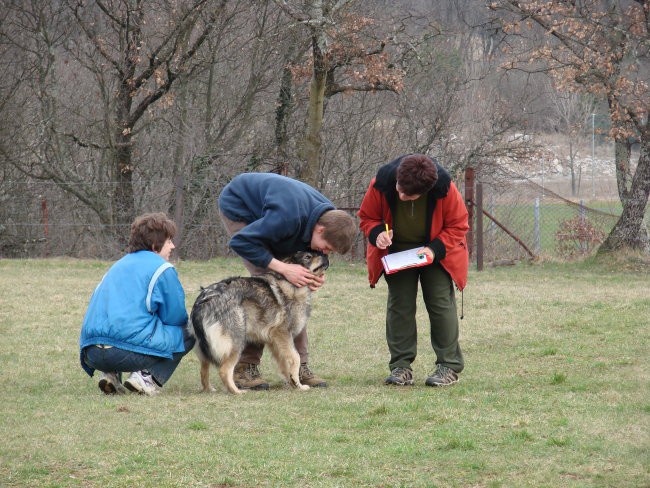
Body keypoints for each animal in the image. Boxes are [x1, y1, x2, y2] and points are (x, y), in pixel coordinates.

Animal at [187, 252, 330, 392]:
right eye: (308, 256)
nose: (325, 255)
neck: (289, 284)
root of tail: (204, 298)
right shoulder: (283, 334)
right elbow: (296, 357)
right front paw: (299, 385)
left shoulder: (275, 342)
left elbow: (285, 364)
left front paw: (292, 383)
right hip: (237, 341)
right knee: (224, 370)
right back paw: (237, 391)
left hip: (205, 349)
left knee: (203, 371)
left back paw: (209, 389)